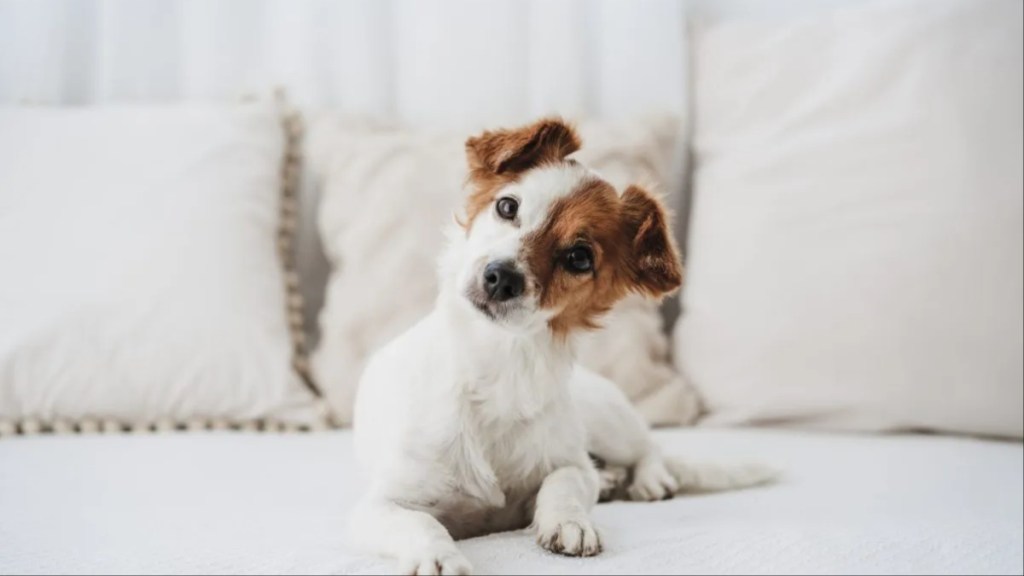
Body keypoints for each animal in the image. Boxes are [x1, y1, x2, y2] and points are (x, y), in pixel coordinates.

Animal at [348, 117, 770, 573]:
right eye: (507, 207)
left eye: (579, 258)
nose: (500, 277)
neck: (501, 367)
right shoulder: (380, 505)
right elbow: (421, 523)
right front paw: (439, 556)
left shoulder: (571, 463)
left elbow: (562, 480)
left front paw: (569, 521)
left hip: (609, 420)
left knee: (648, 446)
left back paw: (648, 479)